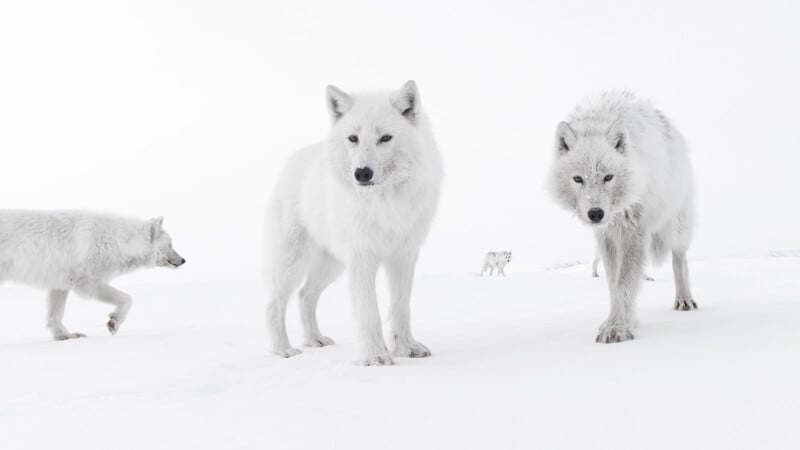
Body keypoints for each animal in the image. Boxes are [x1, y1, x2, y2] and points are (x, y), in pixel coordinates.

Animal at [0, 211, 185, 340]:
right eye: (170, 245)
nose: (183, 260)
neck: (118, 241)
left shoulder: (60, 284)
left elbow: (55, 315)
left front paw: (66, 336)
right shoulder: (87, 282)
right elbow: (127, 299)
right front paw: (114, 322)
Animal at [265, 81, 442, 365]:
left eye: (385, 138)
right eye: (353, 138)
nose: (362, 173)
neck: (384, 203)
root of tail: (294, 159)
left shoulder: (404, 257)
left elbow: (401, 309)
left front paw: (406, 349)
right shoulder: (362, 259)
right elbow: (369, 313)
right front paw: (375, 356)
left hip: (332, 266)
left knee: (305, 295)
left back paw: (315, 340)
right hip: (293, 263)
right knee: (274, 304)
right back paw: (283, 350)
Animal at [548, 90, 697, 343]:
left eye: (608, 177)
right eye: (578, 179)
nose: (595, 213)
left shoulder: (634, 233)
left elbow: (625, 282)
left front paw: (618, 327)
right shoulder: (607, 237)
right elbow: (613, 283)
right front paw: (622, 321)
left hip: (675, 227)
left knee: (680, 260)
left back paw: (684, 300)